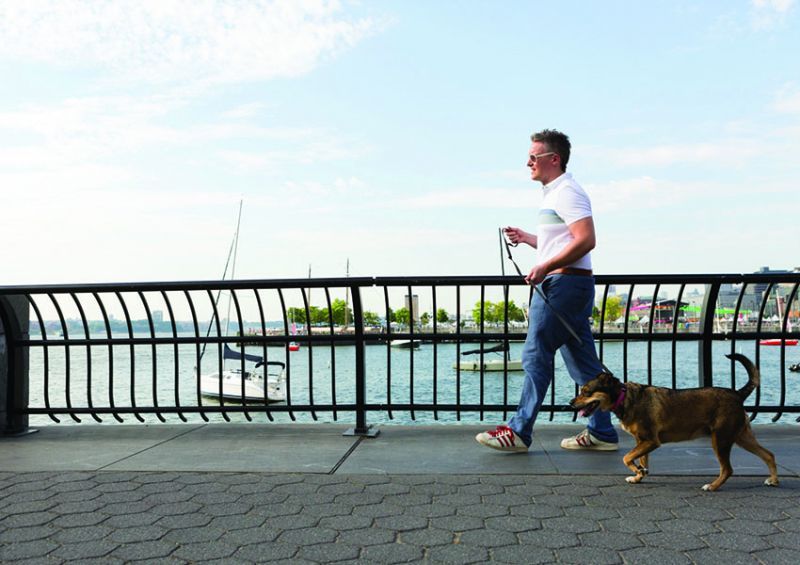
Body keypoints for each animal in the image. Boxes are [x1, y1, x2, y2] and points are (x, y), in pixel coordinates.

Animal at [572, 352, 780, 490]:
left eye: (585, 392)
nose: (570, 403)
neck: (624, 397)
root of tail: (737, 394)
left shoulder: (650, 441)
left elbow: (626, 457)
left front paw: (637, 470)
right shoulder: (642, 442)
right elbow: (640, 460)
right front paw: (639, 475)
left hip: (720, 439)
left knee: (727, 469)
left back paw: (712, 486)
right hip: (741, 436)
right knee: (768, 454)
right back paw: (774, 480)